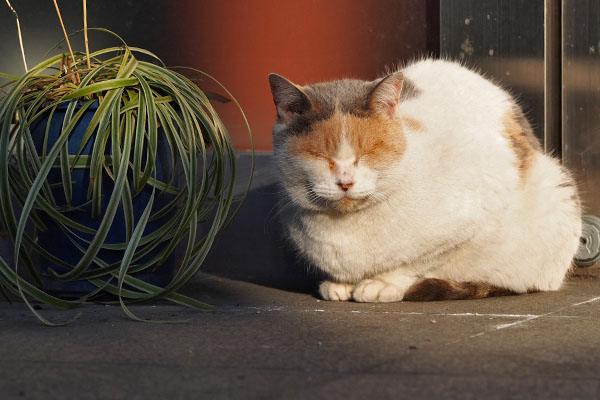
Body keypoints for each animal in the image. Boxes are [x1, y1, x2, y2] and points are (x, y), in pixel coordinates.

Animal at [268, 59, 580, 302]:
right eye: (318, 154)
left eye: (370, 151)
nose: (345, 181)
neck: (345, 230)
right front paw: (341, 285)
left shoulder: (471, 220)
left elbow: (415, 264)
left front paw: (382, 284)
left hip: (557, 193)